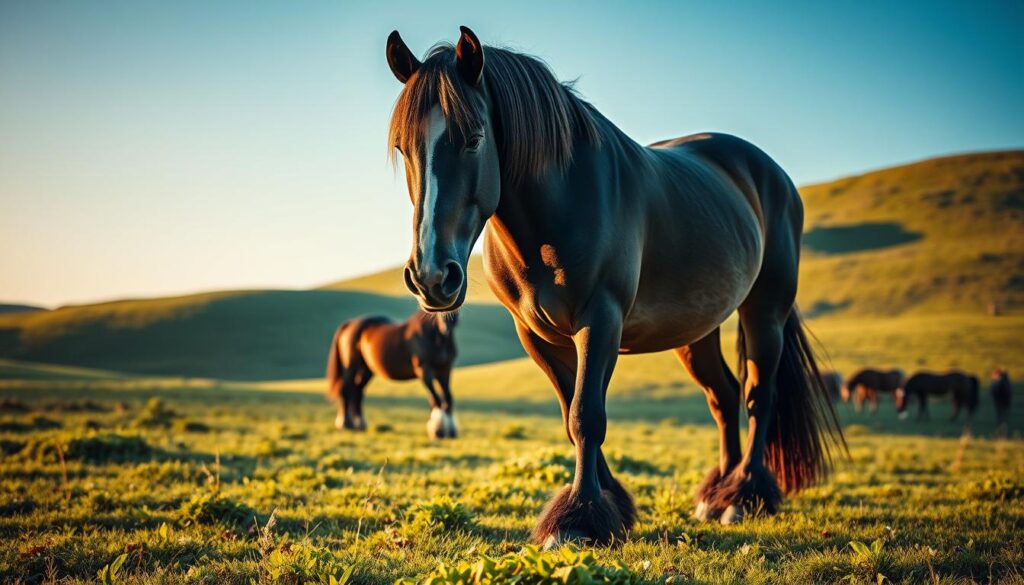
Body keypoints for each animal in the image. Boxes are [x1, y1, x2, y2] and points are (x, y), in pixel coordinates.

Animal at [326, 311, 458, 439]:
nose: (447, 325)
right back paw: (345, 424)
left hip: (366, 370)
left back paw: (360, 425)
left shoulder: (445, 371)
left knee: (357, 392)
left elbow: (448, 398)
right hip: (350, 367)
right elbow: (436, 399)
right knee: (345, 390)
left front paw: (451, 432)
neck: (434, 337)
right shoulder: (424, 370)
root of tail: (349, 324)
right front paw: (438, 432)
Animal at [384, 26, 844, 545]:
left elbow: (586, 416)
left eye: (474, 139)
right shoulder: (538, 335)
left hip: (765, 311)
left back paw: (743, 495)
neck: (562, 205)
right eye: (402, 148)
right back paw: (714, 495)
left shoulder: (599, 319)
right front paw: (610, 505)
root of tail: (771, 173)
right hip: (697, 329)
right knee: (724, 398)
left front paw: (579, 517)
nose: (431, 276)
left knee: (758, 396)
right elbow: (572, 416)